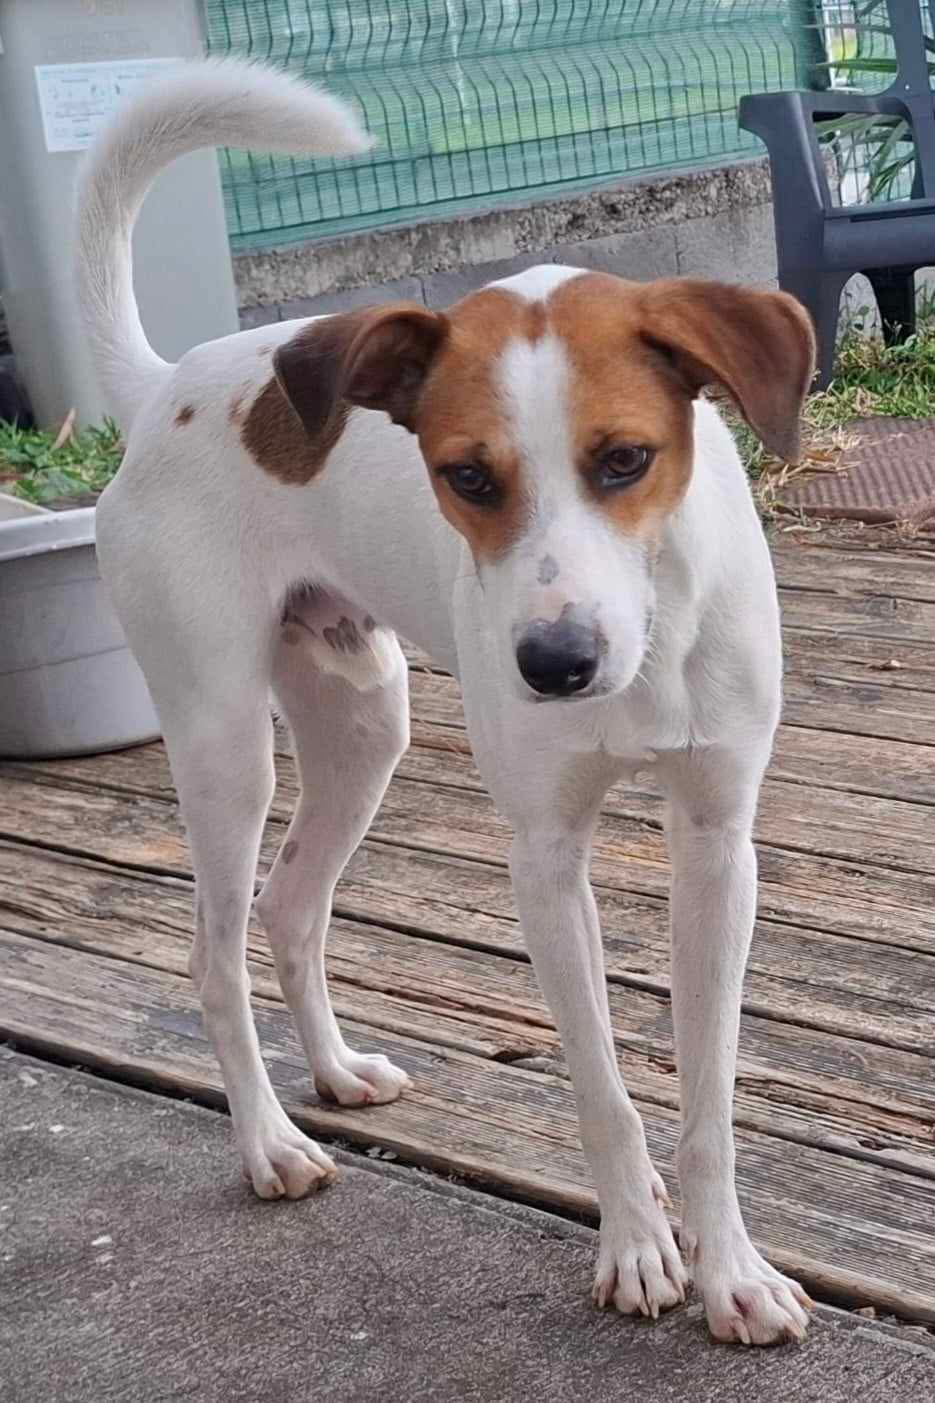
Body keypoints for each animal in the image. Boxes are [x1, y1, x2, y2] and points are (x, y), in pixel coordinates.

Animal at [78, 61, 816, 1346]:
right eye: (465, 476)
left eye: (624, 460)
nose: (553, 663)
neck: (643, 642)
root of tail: (168, 384)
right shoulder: (543, 856)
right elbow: (603, 1087)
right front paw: (635, 1245)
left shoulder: (717, 839)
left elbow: (707, 1097)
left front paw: (730, 1269)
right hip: (225, 743)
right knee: (214, 953)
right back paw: (270, 1142)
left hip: (365, 722)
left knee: (291, 907)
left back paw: (335, 1073)